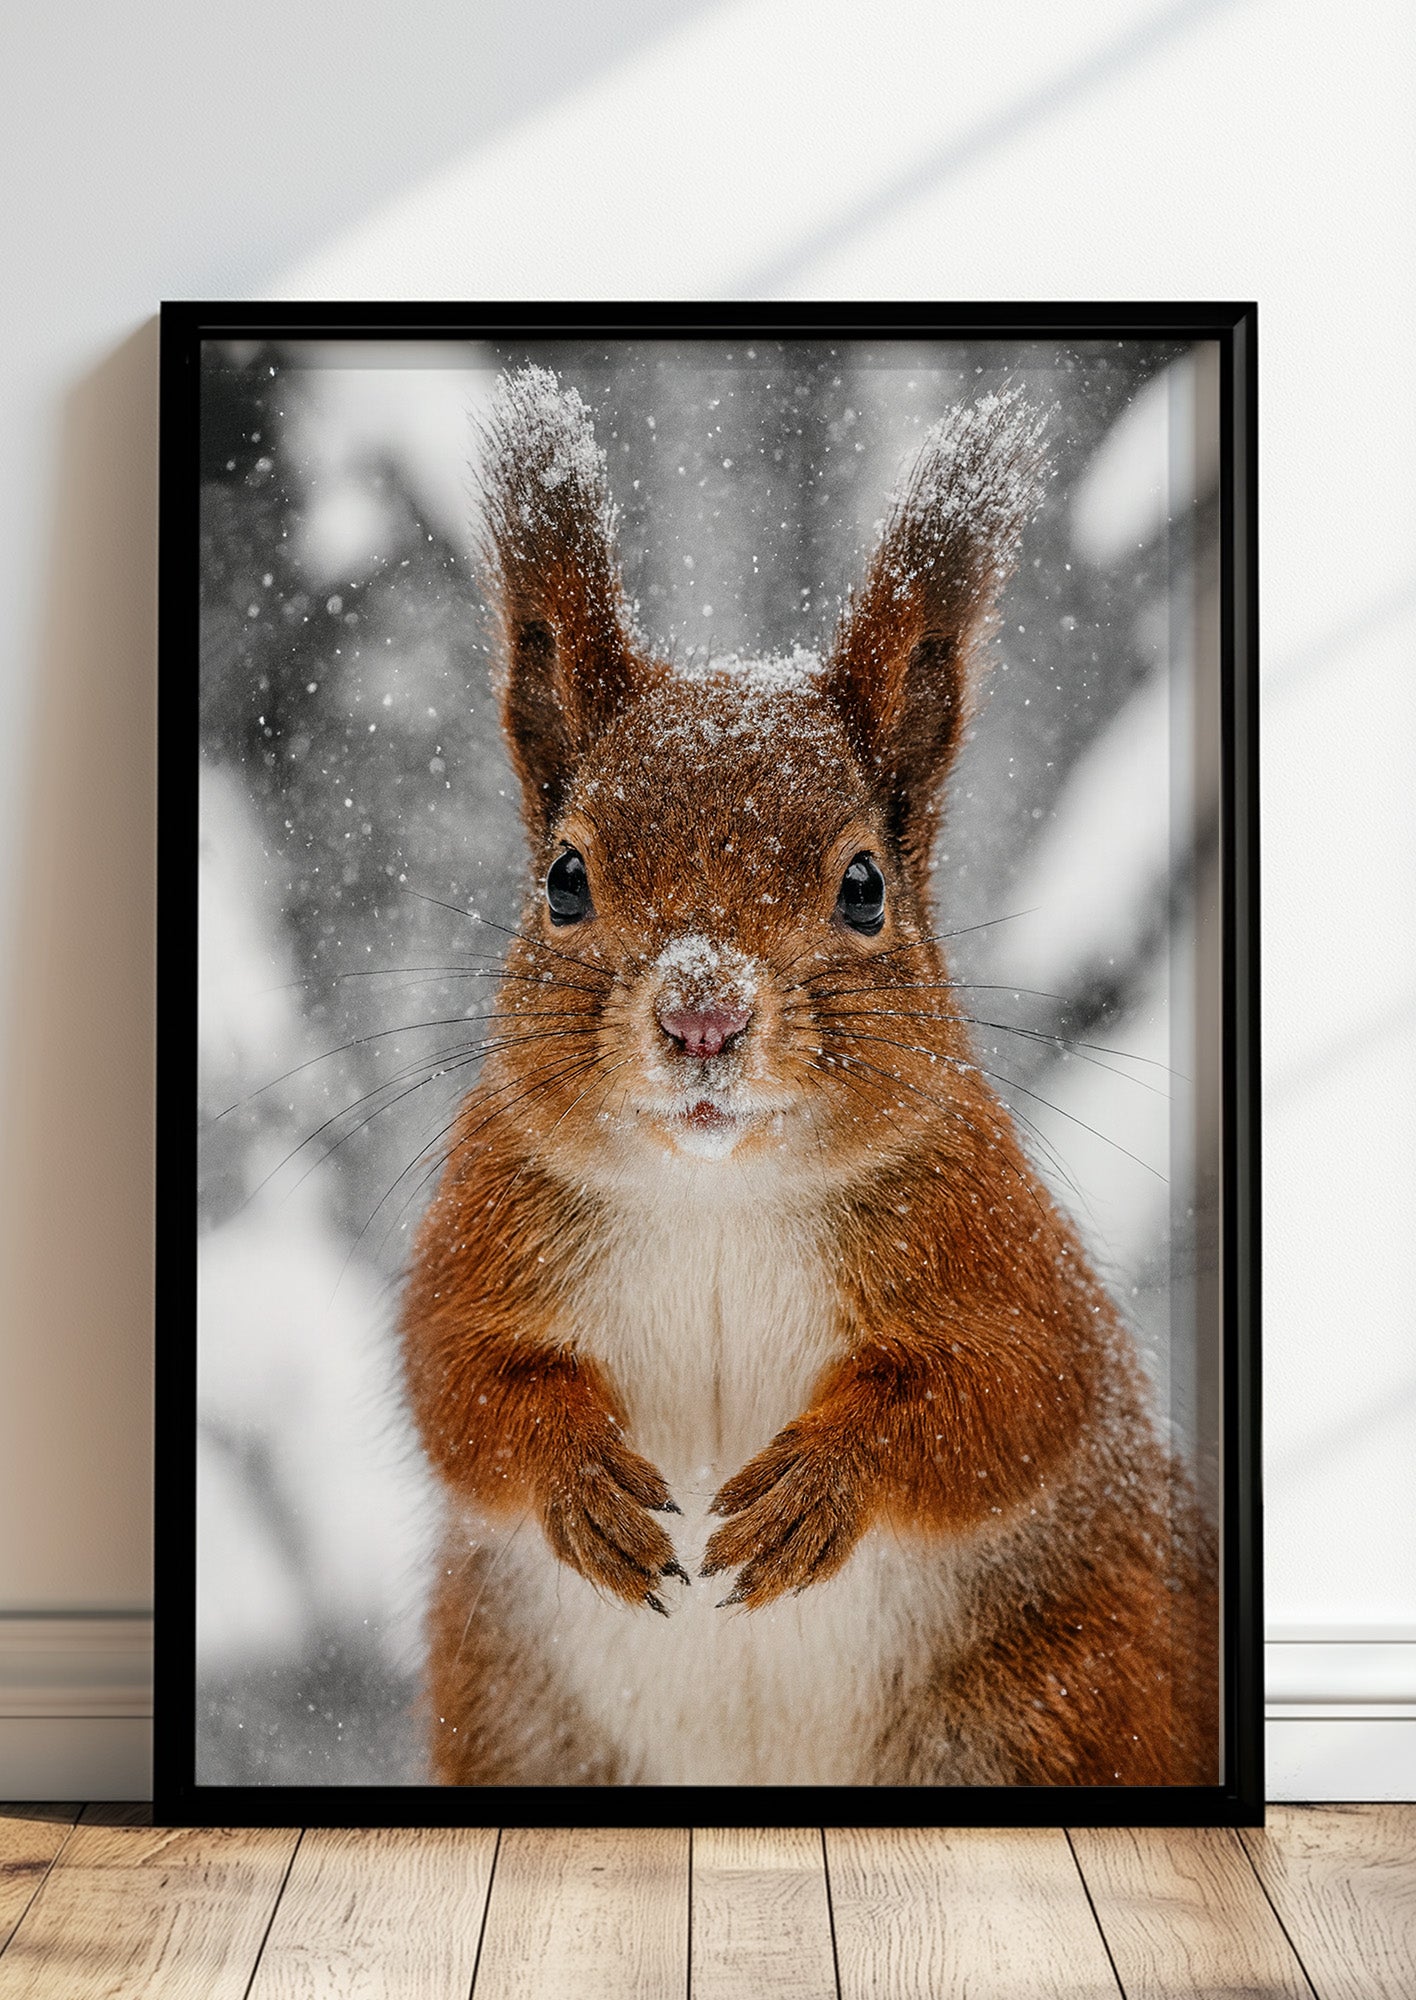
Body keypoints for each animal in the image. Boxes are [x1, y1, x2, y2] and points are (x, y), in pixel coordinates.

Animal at [399, 365, 1217, 1789]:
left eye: (864, 886)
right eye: (565, 878)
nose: (703, 1014)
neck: (717, 1195)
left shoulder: (993, 1239)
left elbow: (1009, 1395)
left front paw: (819, 1487)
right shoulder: (489, 1222)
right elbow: (460, 1379)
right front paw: (577, 1480)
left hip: (1048, 1704)